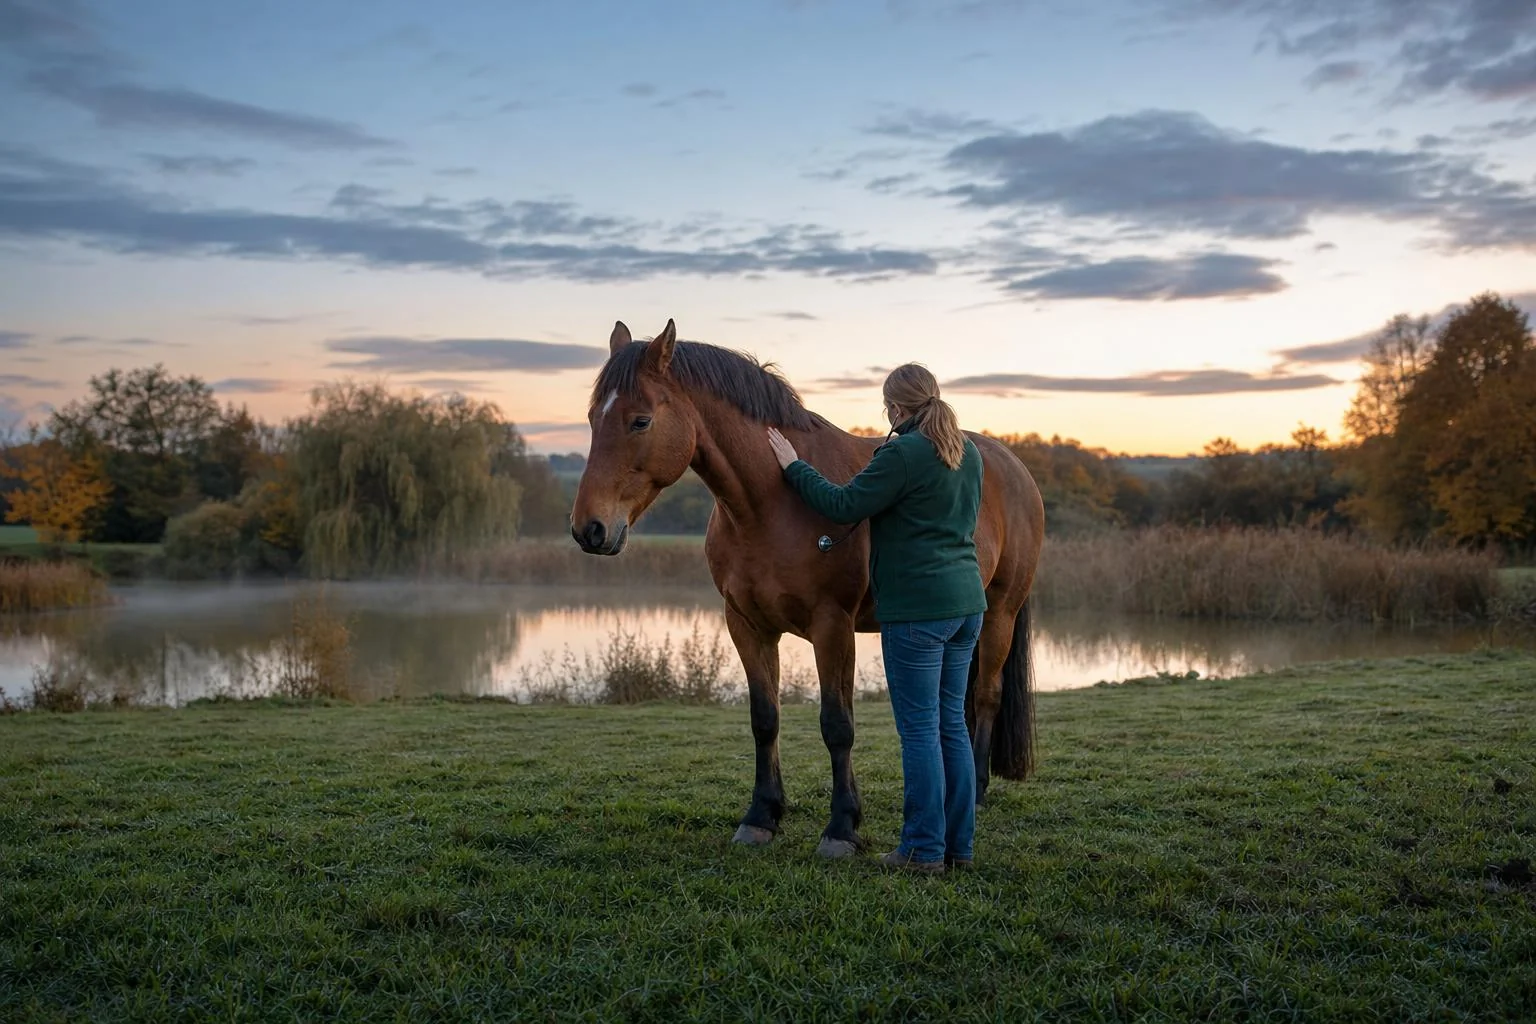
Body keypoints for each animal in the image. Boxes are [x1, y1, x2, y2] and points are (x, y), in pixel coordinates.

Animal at [571, 319, 1045, 858]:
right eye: (593, 418)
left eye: (640, 421)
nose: (589, 529)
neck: (771, 503)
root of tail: (1013, 465)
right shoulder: (747, 624)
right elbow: (764, 718)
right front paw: (761, 816)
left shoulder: (831, 627)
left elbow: (837, 725)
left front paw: (841, 827)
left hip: (1000, 614)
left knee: (986, 696)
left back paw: (979, 791)